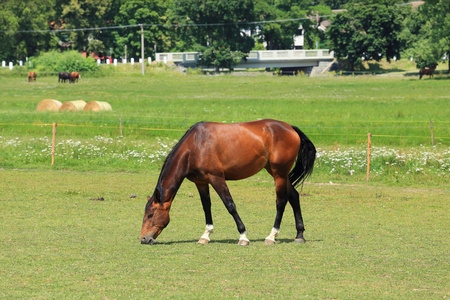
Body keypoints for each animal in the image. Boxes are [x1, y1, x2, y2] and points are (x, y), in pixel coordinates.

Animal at [141, 119, 316, 246]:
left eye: (150, 214)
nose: (144, 239)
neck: (195, 146)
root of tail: (290, 128)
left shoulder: (217, 178)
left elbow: (230, 205)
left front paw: (243, 236)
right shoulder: (201, 182)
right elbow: (206, 206)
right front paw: (205, 235)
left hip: (279, 173)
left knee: (281, 201)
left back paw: (271, 236)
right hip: (278, 172)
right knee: (294, 196)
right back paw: (299, 235)